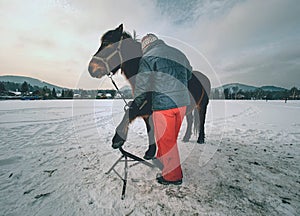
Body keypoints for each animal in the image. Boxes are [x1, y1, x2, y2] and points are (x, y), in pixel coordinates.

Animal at [88, 24, 211, 159]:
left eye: (107, 43)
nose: (91, 68)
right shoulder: (146, 110)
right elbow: (149, 130)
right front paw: (151, 152)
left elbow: (130, 113)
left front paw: (118, 138)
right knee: (190, 120)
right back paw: (186, 137)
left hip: (202, 105)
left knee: (201, 120)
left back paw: (200, 139)